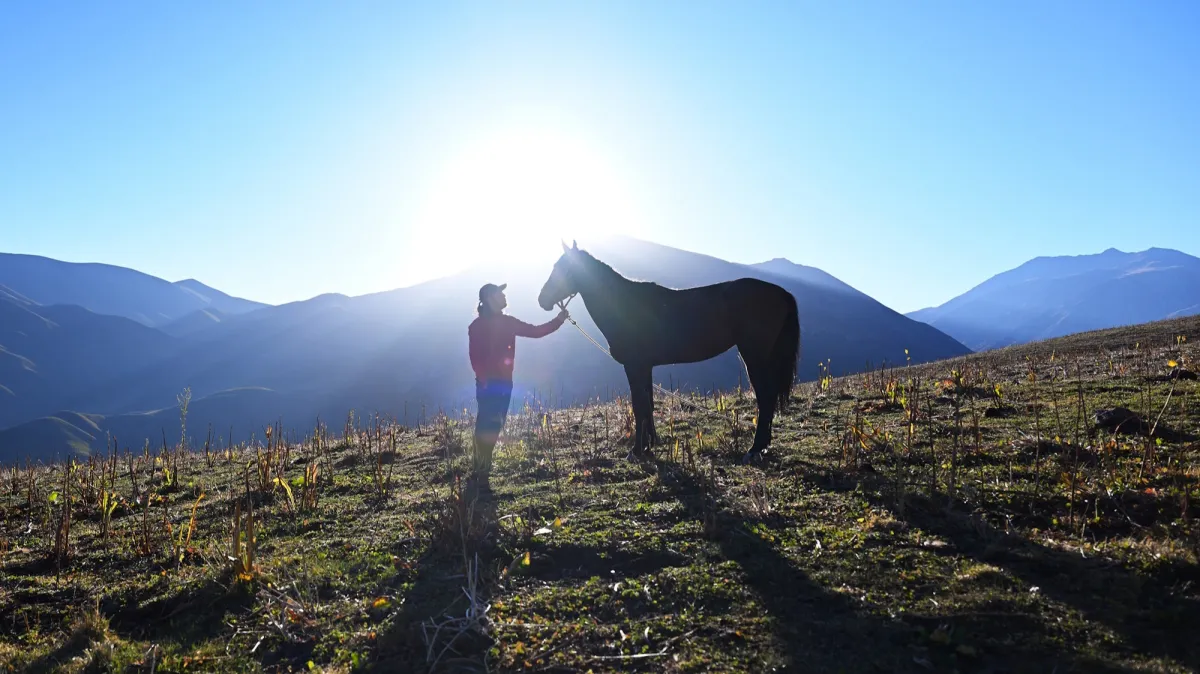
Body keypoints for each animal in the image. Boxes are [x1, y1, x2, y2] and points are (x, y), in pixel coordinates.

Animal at [538, 241, 800, 463]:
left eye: (565, 269)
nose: (542, 300)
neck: (625, 303)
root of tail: (782, 292)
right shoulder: (645, 367)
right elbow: (648, 405)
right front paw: (648, 445)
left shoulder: (634, 366)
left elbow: (639, 406)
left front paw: (636, 451)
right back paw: (762, 445)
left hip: (755, 356)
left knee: (765, 396)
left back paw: (755, 448)